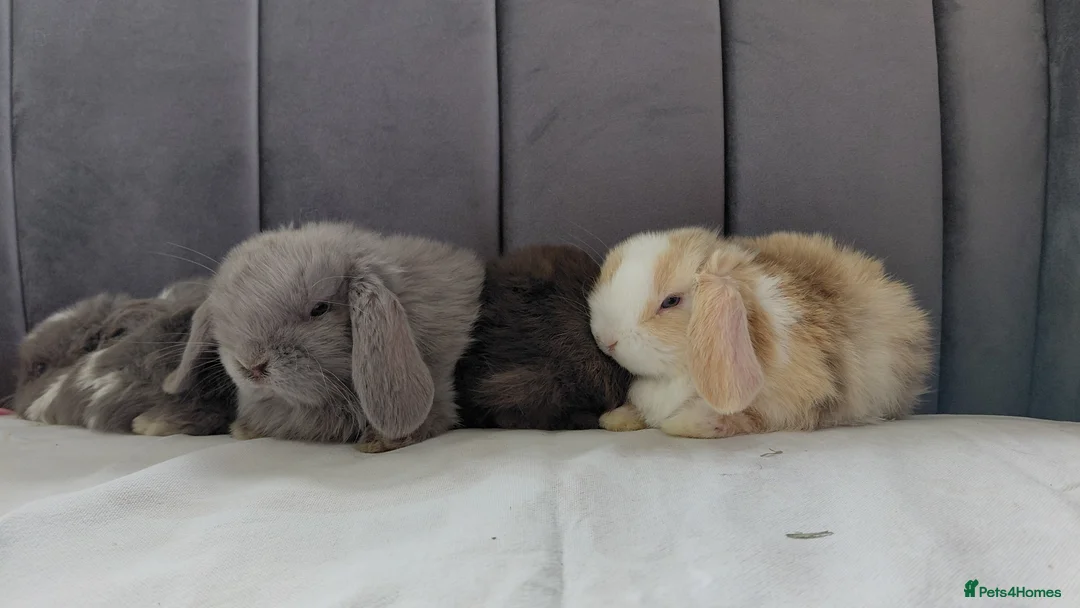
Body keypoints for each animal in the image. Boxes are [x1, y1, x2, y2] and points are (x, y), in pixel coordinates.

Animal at [587, 228, 932, 439]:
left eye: (670, 301)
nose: (606, 340)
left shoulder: (789, 403)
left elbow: (747, 418)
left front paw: (684, 424)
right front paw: (614, 419)